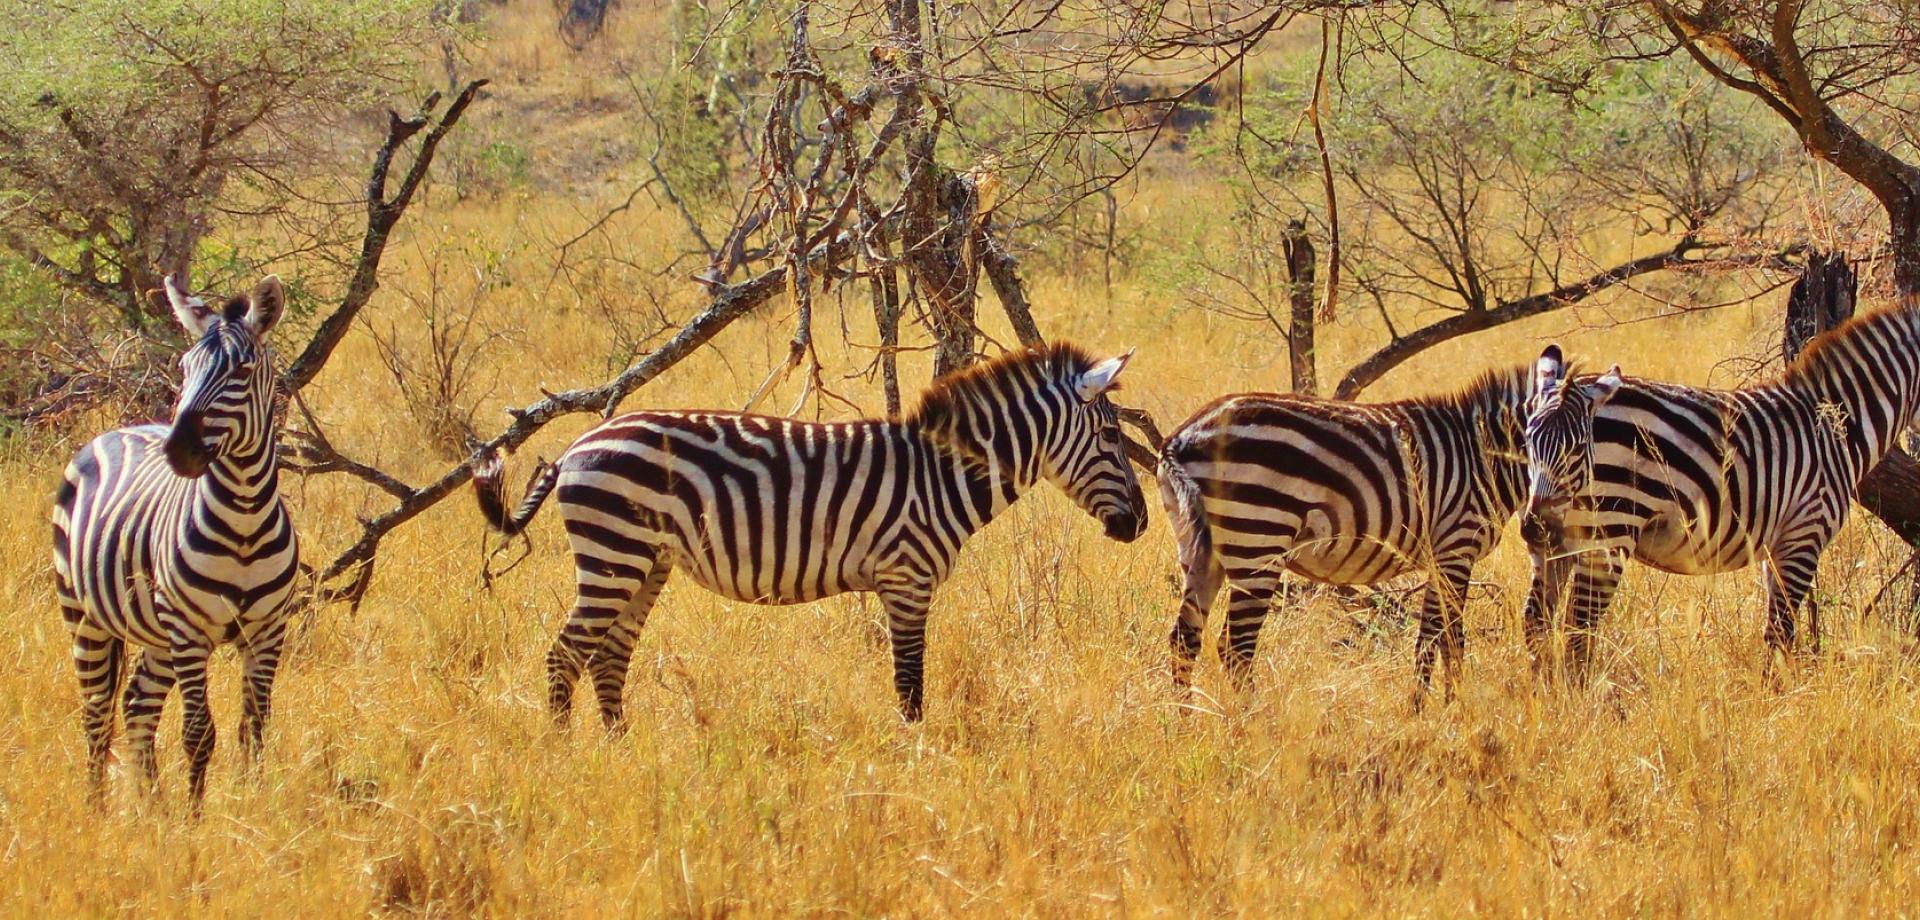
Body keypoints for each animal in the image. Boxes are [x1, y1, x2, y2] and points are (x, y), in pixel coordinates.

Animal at [50, 272, 299, 806]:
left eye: (242, 370)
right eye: (185, 368)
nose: (178, 451)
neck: (244, 519)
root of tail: (116, 430)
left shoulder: (267, 630)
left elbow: (253, 726)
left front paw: (250, 805)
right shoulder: (190, 631)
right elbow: (198, 732)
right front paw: (195, 817)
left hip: (157, 633)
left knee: (136, 702)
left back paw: (152, 805)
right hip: (85, 615)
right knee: (96, 713)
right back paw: (98, 808)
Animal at [472, 343, 1144, 726]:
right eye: (1112, 437)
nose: (1137, 524)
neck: (941, 475)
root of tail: (575, 446)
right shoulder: (906, 579)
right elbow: (910, 686)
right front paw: (916, 765)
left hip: (646, 561)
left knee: (609, 658)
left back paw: (621, 754)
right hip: (614, 553)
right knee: (565, 657)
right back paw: (565, 757)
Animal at [1144, 361, 1551, 699]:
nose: (1537, 529)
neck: (1484, 457)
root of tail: (1179, 438)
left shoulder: (1442, 558)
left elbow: (1428, 639)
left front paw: (1423, 710)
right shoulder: (1456, 545)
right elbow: (1449, 638)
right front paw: (1455, 711)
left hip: (1199, 546)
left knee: (1184, 639)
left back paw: (1188, 721)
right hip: (1258, 537)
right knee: (1236, 648)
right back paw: (1252, 724)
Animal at [1520, 303, 1920, 676]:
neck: (1835, 429)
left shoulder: (1776, 547)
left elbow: (1776, 633)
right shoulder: (1804, 533)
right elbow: (1781, 632)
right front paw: (1774, 698)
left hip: (1557, 540)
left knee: (1537, 623)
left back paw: (1547, 695)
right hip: (1610, 528)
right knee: (1579, 631)